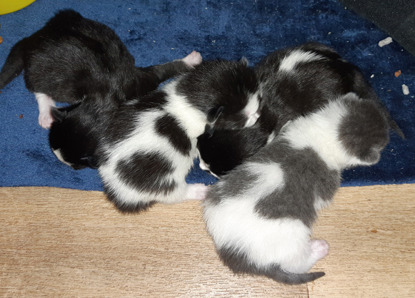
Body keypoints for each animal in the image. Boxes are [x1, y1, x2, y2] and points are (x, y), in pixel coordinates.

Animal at [0, 8, 202, 128]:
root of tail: (33, 38)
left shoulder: (137, 80)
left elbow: (162, 70)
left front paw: (190, 61)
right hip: (43, 71)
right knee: (37, 87)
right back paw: (46, 112)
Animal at [94, 58, 262, 212]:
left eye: (259, 98)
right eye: (241, 118)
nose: (258, 114)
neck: (187, 98)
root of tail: (115, 189)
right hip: (165, 180)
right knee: (175, 193)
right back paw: (199, 190)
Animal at [203, 92, 392, 284]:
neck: (326, 133)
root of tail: (237, 254)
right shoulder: (328, 182)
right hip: (292, 238)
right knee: (298, 264)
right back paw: (319, 248)